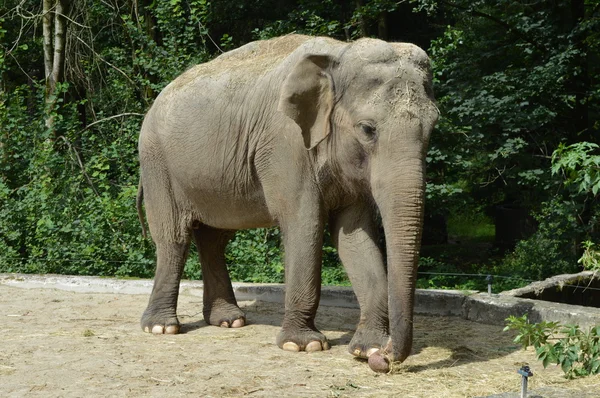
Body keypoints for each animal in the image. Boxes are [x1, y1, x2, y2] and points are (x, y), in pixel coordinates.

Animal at [136, 32, 436, 372]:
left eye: (433, 127)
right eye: (367, 129)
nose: (383, 360)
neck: (338, 54)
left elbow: (354, 237)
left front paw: (365, 347)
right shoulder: (284, 144)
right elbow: (305, 223)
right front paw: (303, 345)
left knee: (214, 239)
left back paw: (229, 321)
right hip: (157, 163)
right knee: (174, 237)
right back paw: (161, 327)